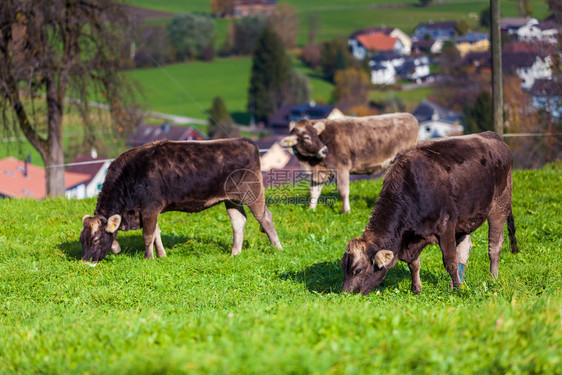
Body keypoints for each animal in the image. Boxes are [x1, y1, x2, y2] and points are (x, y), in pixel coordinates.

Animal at [81, 137, 282, 262]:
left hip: (252, 191)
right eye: (82, 240)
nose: (85, 261)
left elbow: (148, 235)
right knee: (238, 221)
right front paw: (162, 256)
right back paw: (235, 252)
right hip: (231, 199)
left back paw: (277, 248)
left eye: (96, 240)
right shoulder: (150, 211)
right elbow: (156, 233)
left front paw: (148, 258)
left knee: (265, 217)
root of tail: (246, 141)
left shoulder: (150, 208)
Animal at [278, 114, 416, 213]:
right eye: (306, 137)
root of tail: (409, 116)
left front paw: (346, 211)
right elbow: (314, 192)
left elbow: (343, 191)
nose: (324, 150)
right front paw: (310, 210)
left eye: (316, 134)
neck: (311, 162)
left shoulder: (341, 167)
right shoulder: (319, 172)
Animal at [336, 133, 516, 296]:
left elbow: (450, 262)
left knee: (494, 245)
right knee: (465, 249)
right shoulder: (412, 237)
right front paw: (417, 289)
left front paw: (458, 290)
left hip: (500, 205)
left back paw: (491, 279)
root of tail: (493, 136)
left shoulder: (446, 227)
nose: (345, 293)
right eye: (343, 266)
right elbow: (414, 264)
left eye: (358, 270)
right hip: (464, 221)